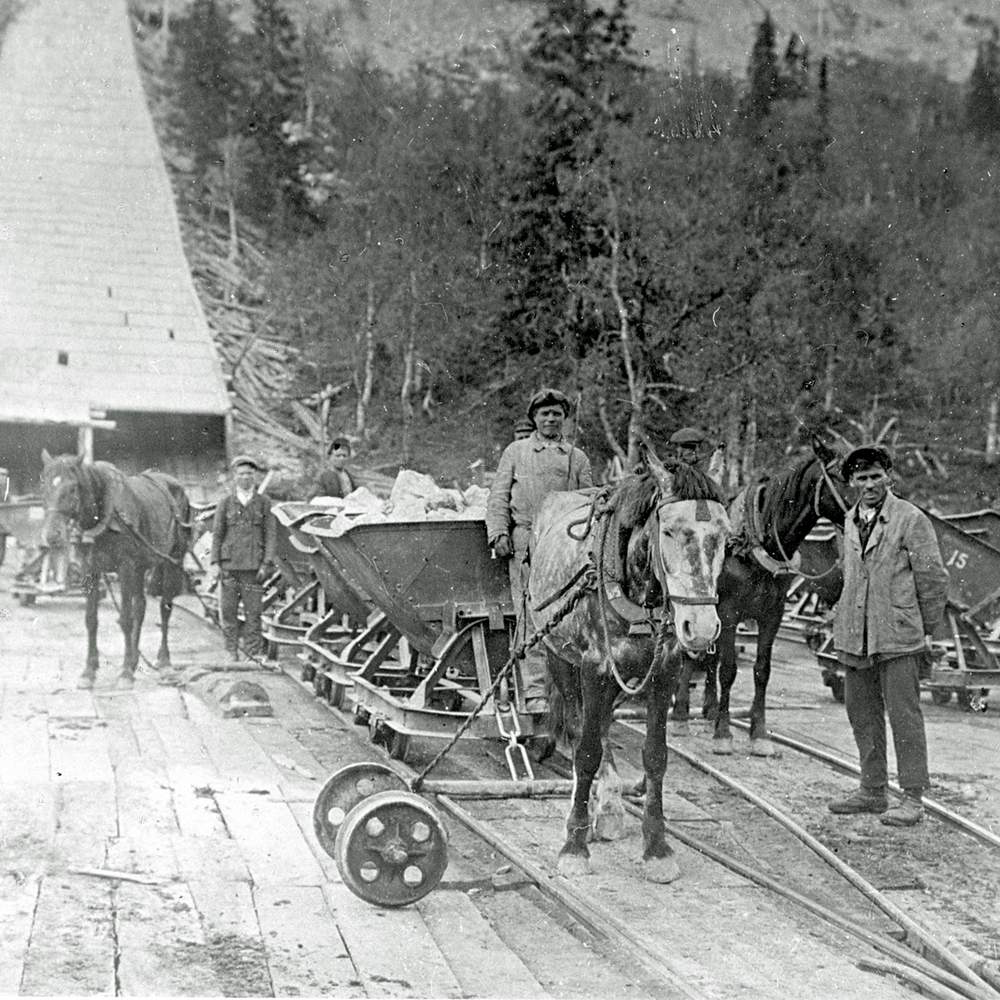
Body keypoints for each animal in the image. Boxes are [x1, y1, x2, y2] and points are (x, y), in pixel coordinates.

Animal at [39, 452, 191, 688]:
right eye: (44, 484)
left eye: (73, 488)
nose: (51, 535)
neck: (104, 516)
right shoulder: (90, 569)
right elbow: (91, 619)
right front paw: (89, 671)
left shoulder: (126, 567)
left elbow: (126, 619)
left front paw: (125, 673)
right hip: (141, 566)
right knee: (141, 606)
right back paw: (136, 659)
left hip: (172, 559)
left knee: (164, 608)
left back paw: (164, 662)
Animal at [528, 448, 732, 884]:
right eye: (669, 531)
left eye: (725, 534)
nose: (701, 626)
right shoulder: (595, 666)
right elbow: (586, 751)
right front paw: (575, 845)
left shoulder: (664, 670)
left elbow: (655, 757)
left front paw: (656, 848)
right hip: (560, 655)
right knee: (580, 726)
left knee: (603, 724)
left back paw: (608, 807)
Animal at [668, 442, 848, 752]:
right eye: (839, 476)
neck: (756, 542)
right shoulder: (728, 612)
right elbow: (728, 669)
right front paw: (723, 734)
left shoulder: (772, 615)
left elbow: (762, 671)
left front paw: (759, 735)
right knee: (688, 653)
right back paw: (681, 714)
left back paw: (709, 709)